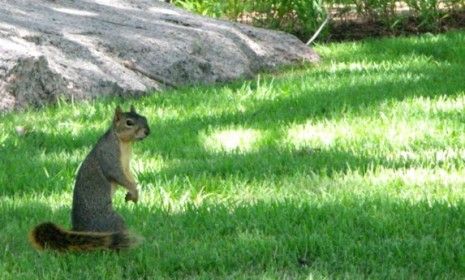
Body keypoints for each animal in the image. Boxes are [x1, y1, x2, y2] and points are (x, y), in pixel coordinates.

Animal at [28, 105, 150, 252]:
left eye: (144, 118)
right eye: (129, 122)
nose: (147, 131)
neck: (124, 143)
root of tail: (80, 231)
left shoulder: (126, 166)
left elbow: (129, 177)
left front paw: (134, 192)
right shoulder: (109, 158)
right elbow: (118, 176)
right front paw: (134, 190)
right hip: (111, 220)